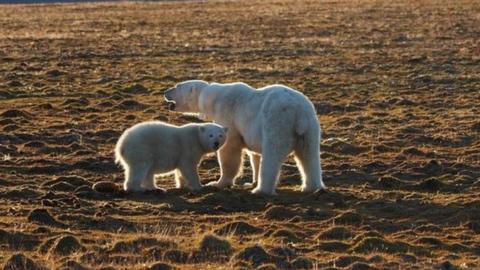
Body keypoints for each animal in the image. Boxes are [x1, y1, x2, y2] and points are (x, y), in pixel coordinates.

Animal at [165, 79, 326, 194]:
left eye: (177, 85)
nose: (165, 92)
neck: (213, 97)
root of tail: (299, 112)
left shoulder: (227, 113)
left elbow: (230, 149)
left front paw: (218, 183)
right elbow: (255, 153)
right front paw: (252, 180)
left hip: (277, 121)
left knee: (272, 154)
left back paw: (261, 190)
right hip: (310, 127)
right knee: (309, 155)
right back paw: (311, 187)